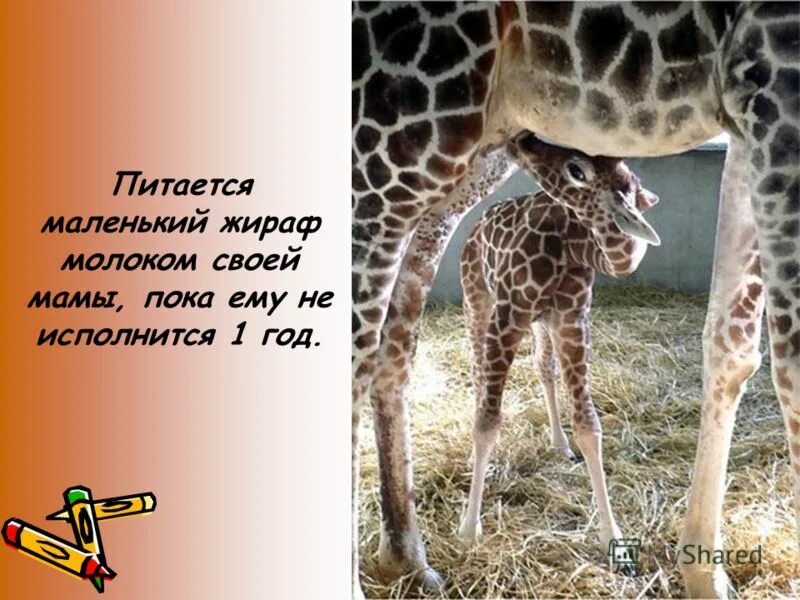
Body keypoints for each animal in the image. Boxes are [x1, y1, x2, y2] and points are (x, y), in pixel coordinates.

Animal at [457, 132, 660, 550]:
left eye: (577, 171)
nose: (525, 139)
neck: (575, 247)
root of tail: (479, 222)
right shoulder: (508, 314)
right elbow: (488, 421)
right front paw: (469, 527)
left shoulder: (570, 321)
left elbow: (589, 425)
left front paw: (611, 533)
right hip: (477, 298)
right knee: (477, 368)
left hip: (541, 324)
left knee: (543, 368)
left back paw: (558, 443)